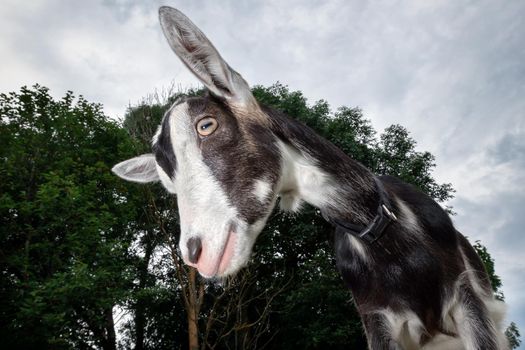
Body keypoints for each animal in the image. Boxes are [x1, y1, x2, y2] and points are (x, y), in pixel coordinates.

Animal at [113, 6, 508, 348]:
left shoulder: (468, 299)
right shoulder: (376, 319)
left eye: (206, 125)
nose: (197, 252)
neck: (386, 232)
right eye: (167, 180)